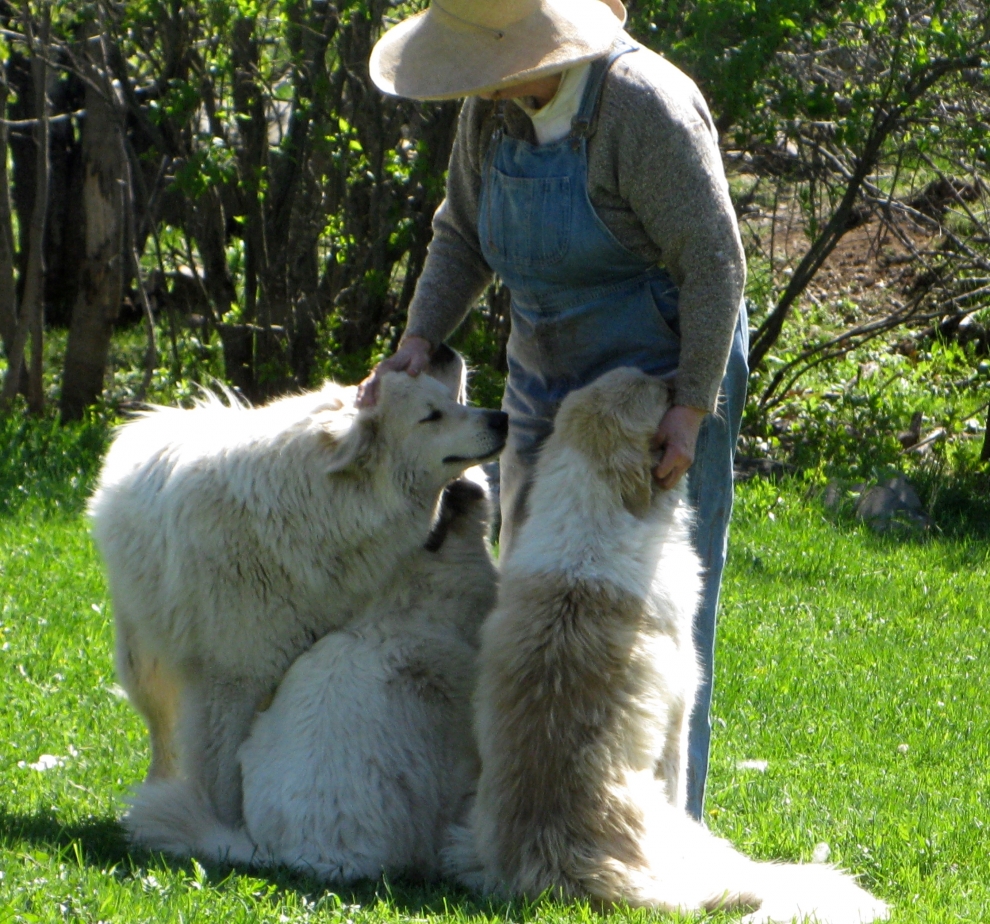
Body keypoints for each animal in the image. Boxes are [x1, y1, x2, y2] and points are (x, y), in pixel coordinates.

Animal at [450, 366, 892, 924]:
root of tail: (565, 869)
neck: (595, 512)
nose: (677, 379)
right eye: (657, 395)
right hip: (704, 844)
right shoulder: (683, 707)